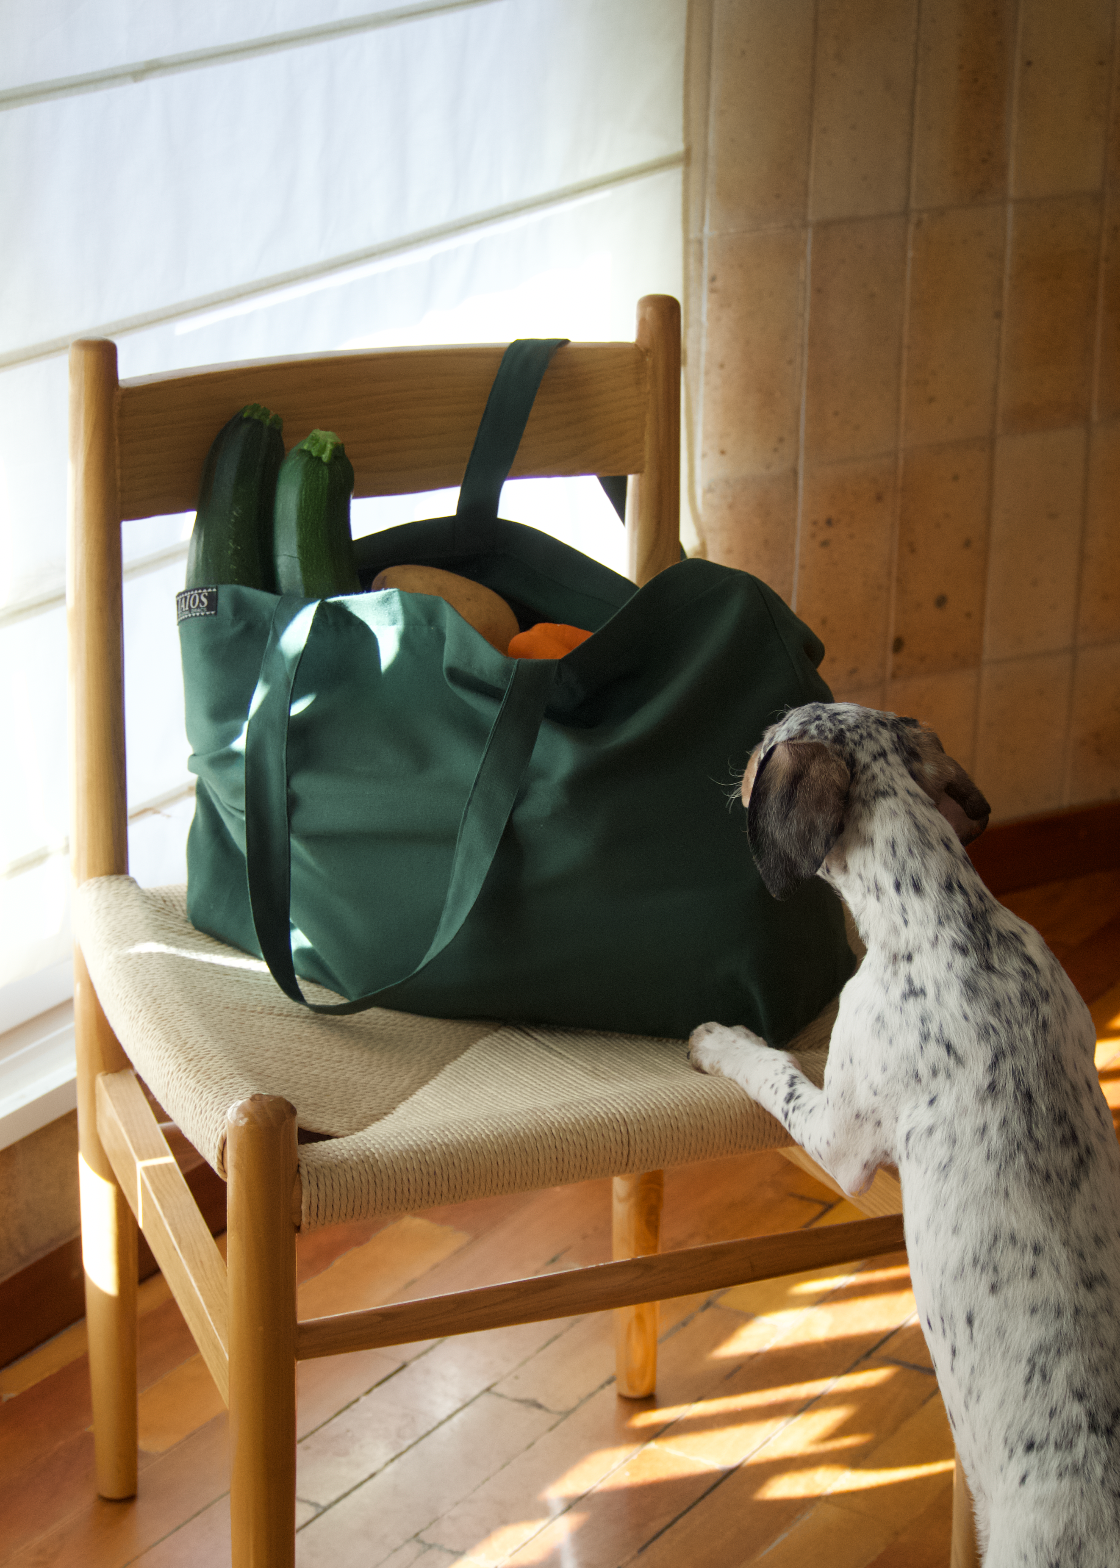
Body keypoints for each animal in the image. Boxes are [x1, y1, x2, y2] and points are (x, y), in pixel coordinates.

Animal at [683, 705, 1116, 1561]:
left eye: (763, 747)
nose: (728, 767)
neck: (954, 919)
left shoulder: (841, 1138)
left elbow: (772, 1068)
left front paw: (719, 1040)